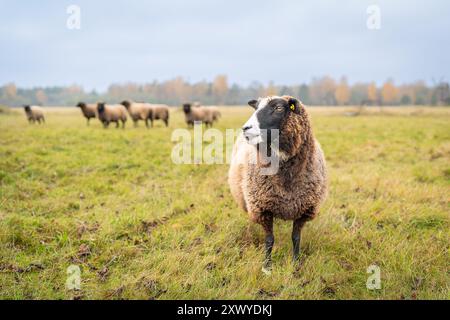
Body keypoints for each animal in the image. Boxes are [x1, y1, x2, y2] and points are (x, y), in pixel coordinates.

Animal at [229, 94, 326, 272]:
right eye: (256, 107)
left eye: (279, 108)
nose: (246, 128)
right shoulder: (263, 208)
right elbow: (269, 240)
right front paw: (267, 267)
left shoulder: (304, 209)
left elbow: (296, 238)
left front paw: (296, 263)